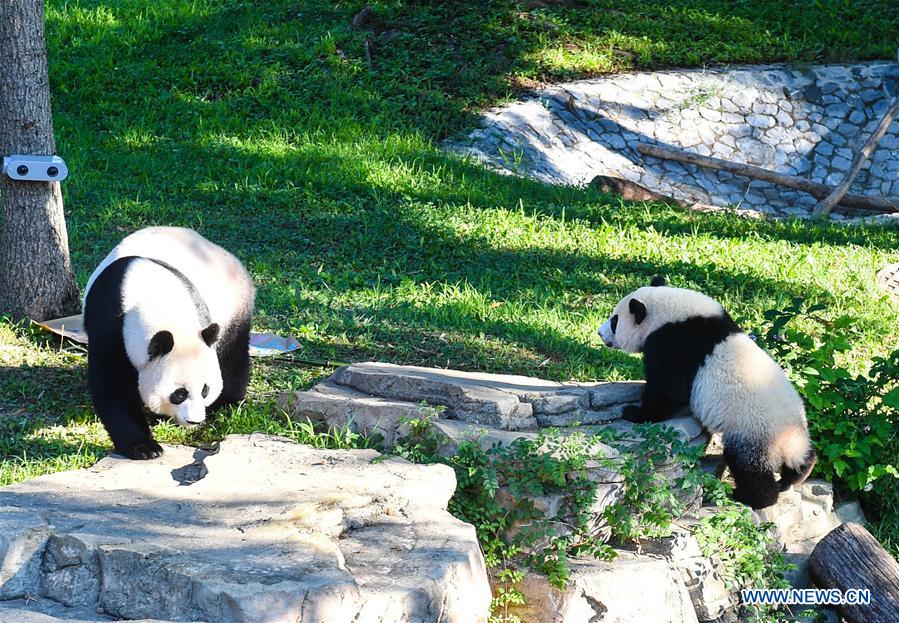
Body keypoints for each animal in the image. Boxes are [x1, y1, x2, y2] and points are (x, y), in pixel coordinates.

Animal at [84, 227, 255, 460]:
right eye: (179, 394)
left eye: (205, 390)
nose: (194, 421)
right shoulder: (108, 324)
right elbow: (113, 385)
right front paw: (146, 448)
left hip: (234, 308)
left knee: (232, 353)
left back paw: (227, 403)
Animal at [596, 276, 816, 510]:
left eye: (614, 321)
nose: (600, 333)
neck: (668, 314)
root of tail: (789, 444)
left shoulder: (674, 345)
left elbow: (668, 390)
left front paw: (634, 413)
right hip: (795, 433)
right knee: (804, 459)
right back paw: (794, 477)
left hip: (753, 431)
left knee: (748, 467)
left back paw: (749, 497)